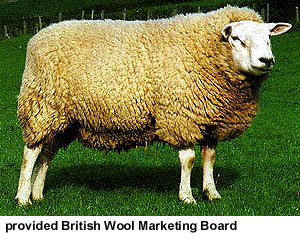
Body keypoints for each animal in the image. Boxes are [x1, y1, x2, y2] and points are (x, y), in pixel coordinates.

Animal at [15, 5, 292, 205]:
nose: (266, 60)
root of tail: (38, 36)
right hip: (41, 108)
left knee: (46, 154)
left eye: (269, 37)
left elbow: (209, 157)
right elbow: (189, 159)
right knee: (31, 153)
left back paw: (37, 194)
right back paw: (22, 199)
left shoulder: (212, 120)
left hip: (64, 121)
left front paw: (211, 193)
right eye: (236, 38)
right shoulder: (180, 115)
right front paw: (187, 197)